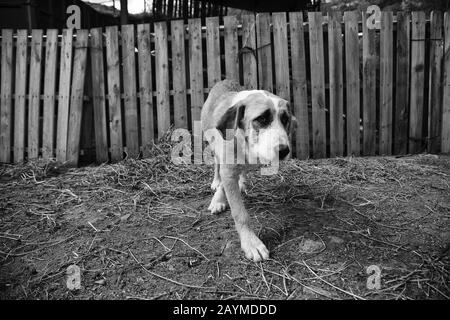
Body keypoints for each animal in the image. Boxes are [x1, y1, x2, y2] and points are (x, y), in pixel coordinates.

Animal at [201, 79, 296, 262]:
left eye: (285, 119)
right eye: (262, 119)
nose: (284, 151)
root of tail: (225, 80)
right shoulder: (227, 168)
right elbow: (240, 213)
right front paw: (252, 243)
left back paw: (241, 183)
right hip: (211, 142)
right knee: (216, 163)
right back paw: (216, 182)